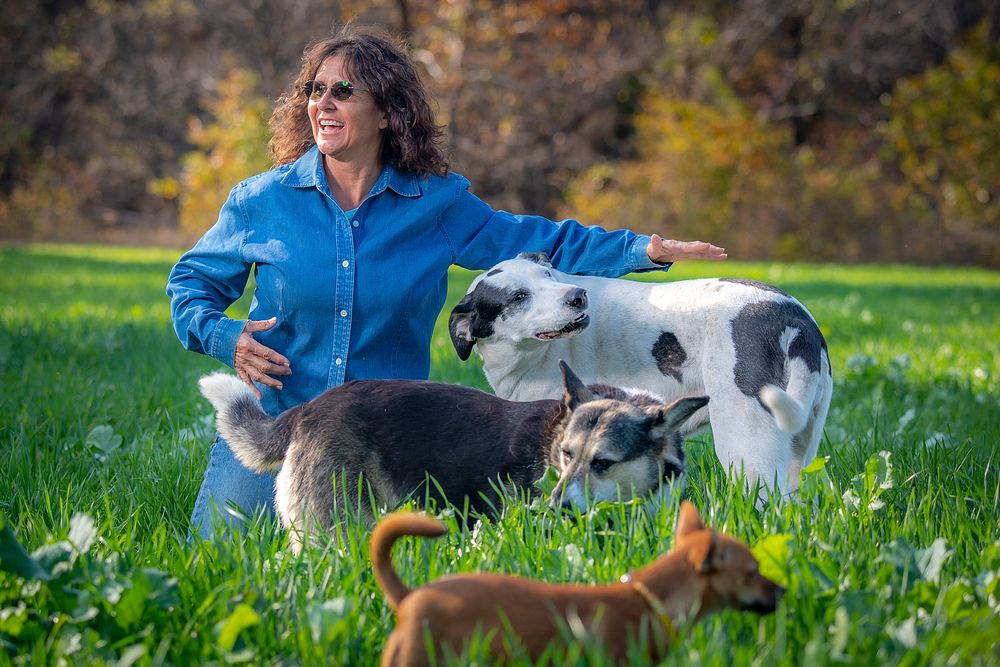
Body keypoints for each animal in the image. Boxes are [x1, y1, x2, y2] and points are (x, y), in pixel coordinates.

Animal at [450, 253, 832, 498]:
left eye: (548, 276)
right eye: (518, 296)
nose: (577, 297)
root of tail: (794, 317)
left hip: (746, 449)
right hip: (799, 445)